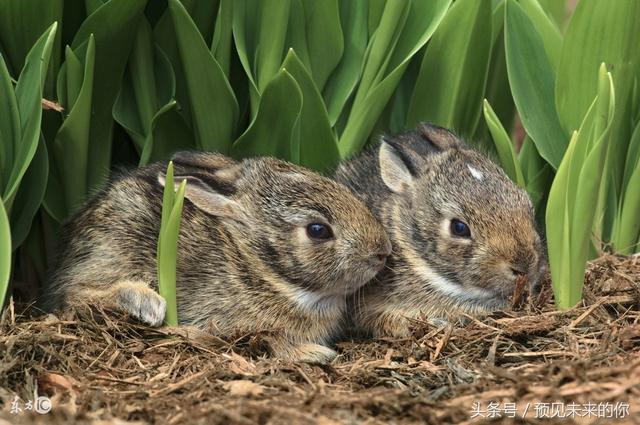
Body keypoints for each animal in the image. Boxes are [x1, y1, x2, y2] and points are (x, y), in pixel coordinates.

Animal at [45, 152, 390, 362]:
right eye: (318, 230)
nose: (382, 252)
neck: (259, 267)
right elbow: (270, 340)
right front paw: (315, 354)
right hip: (113, 248)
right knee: (75, 295)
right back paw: (145, 303)